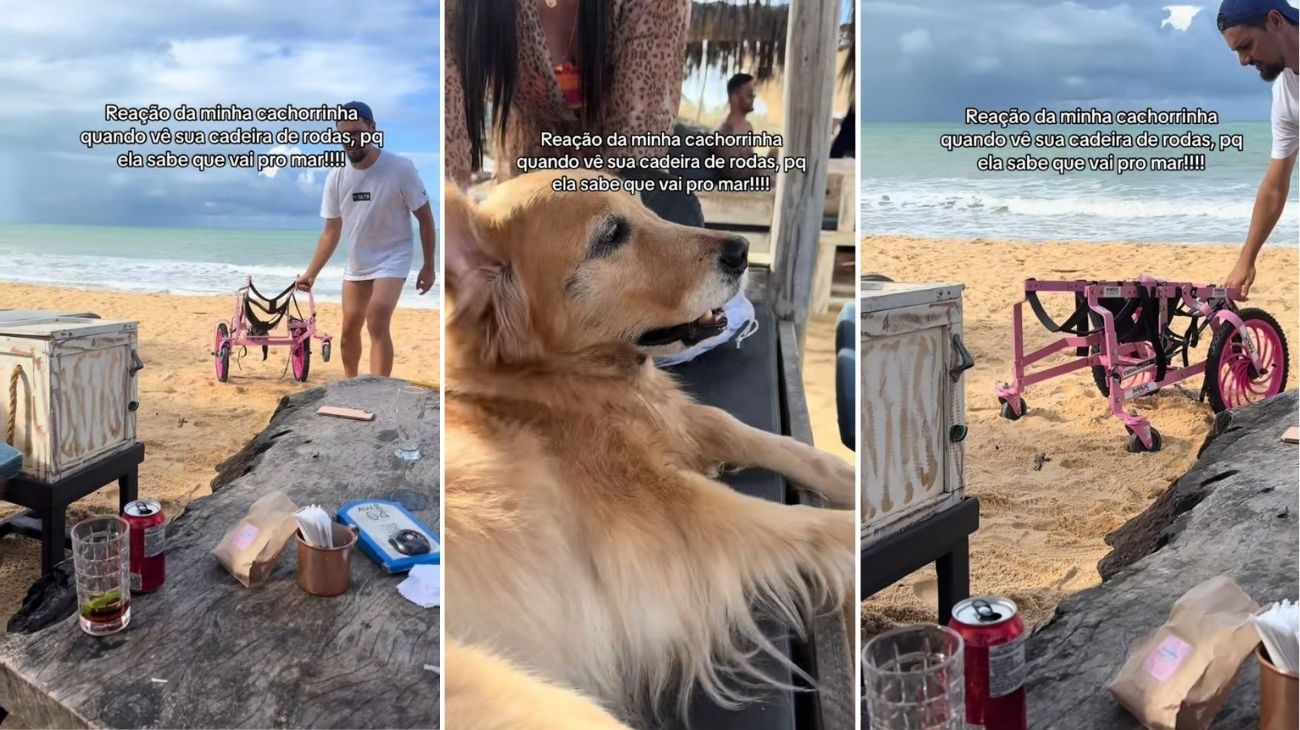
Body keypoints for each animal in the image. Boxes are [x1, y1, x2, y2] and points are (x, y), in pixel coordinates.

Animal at [441, 168, 857, 722]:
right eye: (610, 236)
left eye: (641, 207)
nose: (742, 250)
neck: (543, 384)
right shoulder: (675, 519)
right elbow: (808, 525)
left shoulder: (677, 419)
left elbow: (758, 435)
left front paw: (851, 476)